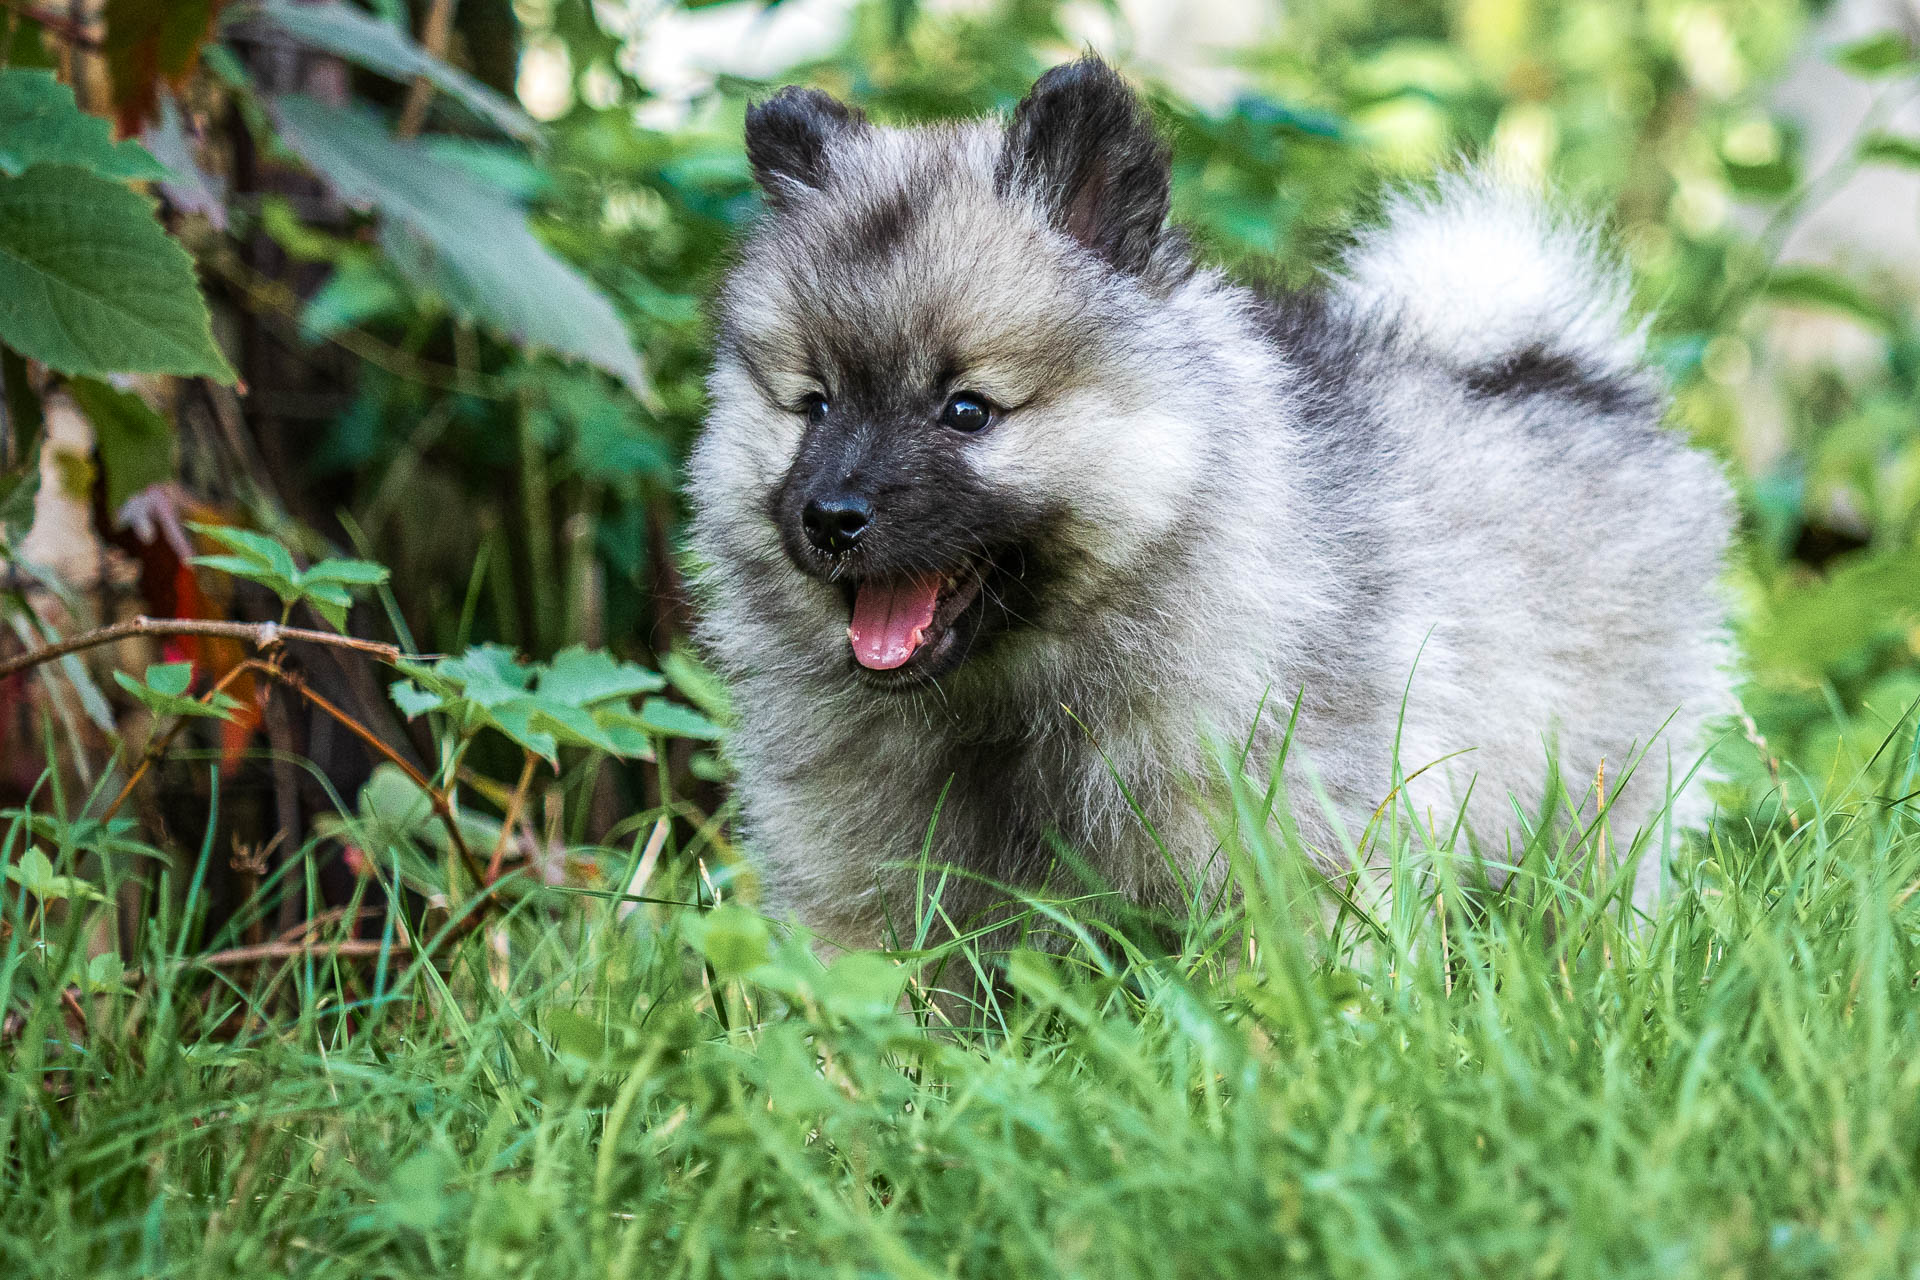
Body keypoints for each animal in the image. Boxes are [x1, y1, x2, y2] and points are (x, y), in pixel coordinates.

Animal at [691, 57, 1743, 951]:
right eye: (814, 406)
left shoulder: (1290, 844)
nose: (830, 518)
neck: (1008, 705)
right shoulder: (859, 882)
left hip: (1602, 792)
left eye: (967, 411)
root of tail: (1562, 371)